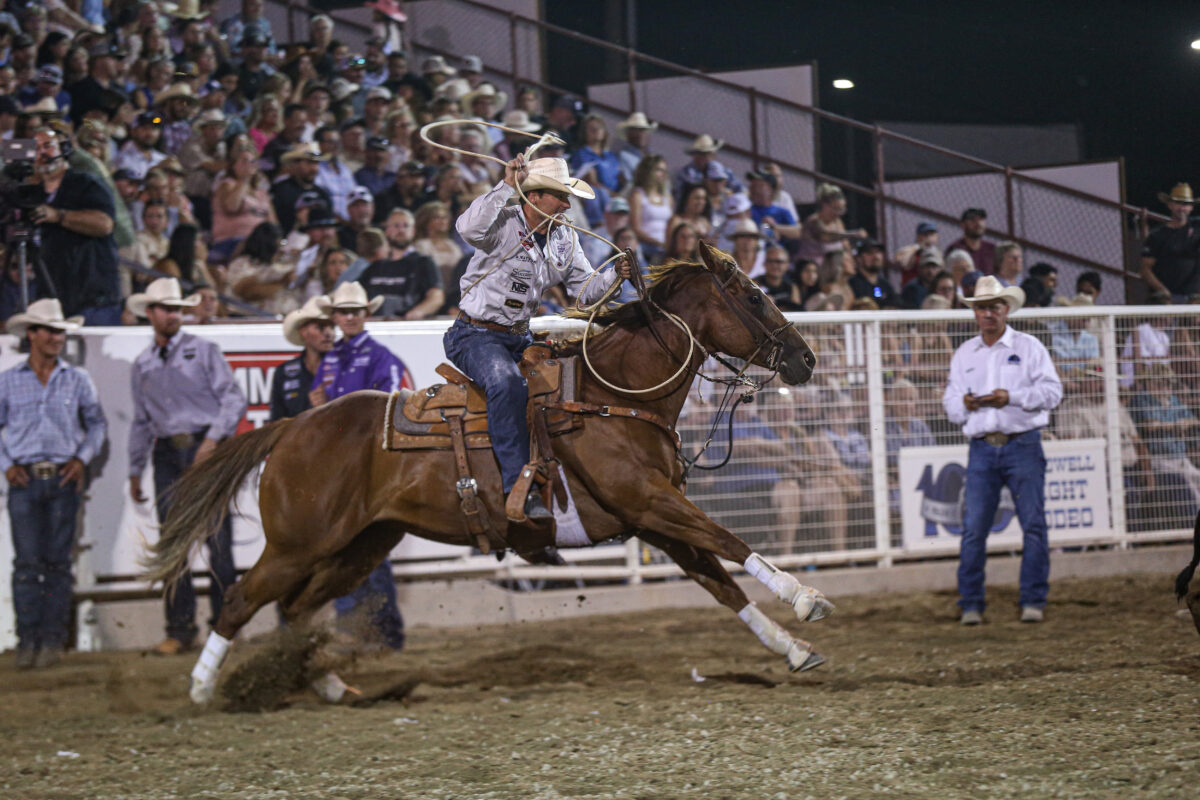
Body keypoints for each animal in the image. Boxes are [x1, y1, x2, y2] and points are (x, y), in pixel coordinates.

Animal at [145, 241, 830, 705]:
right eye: (753, 296)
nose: (805, 358)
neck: (613, 394)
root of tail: (294, 425)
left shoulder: (650, 518)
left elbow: (721, 582)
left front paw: (794, 650)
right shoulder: (648, 500)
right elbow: (731, 541)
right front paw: (806, 599)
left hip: (361, 545)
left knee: (295, 611)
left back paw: (331, 686)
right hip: (297, 543)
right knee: (242, 599)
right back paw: (202, 689)